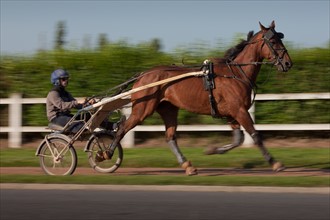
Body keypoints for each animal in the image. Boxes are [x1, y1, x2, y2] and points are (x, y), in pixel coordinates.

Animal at [112, 20, 292, 175]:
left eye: (280, 37)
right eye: (273, 41)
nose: (288, 63)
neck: (236, 73)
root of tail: (143, 74)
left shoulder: (231, 114)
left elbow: (239, 139)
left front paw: (213, 150)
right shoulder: (239, 110)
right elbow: (255, 136)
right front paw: (275, 163)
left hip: (168, 109)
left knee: (170, 137)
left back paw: (188, 166)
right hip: (143, 109)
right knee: (121, 129)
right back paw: (107, 153)